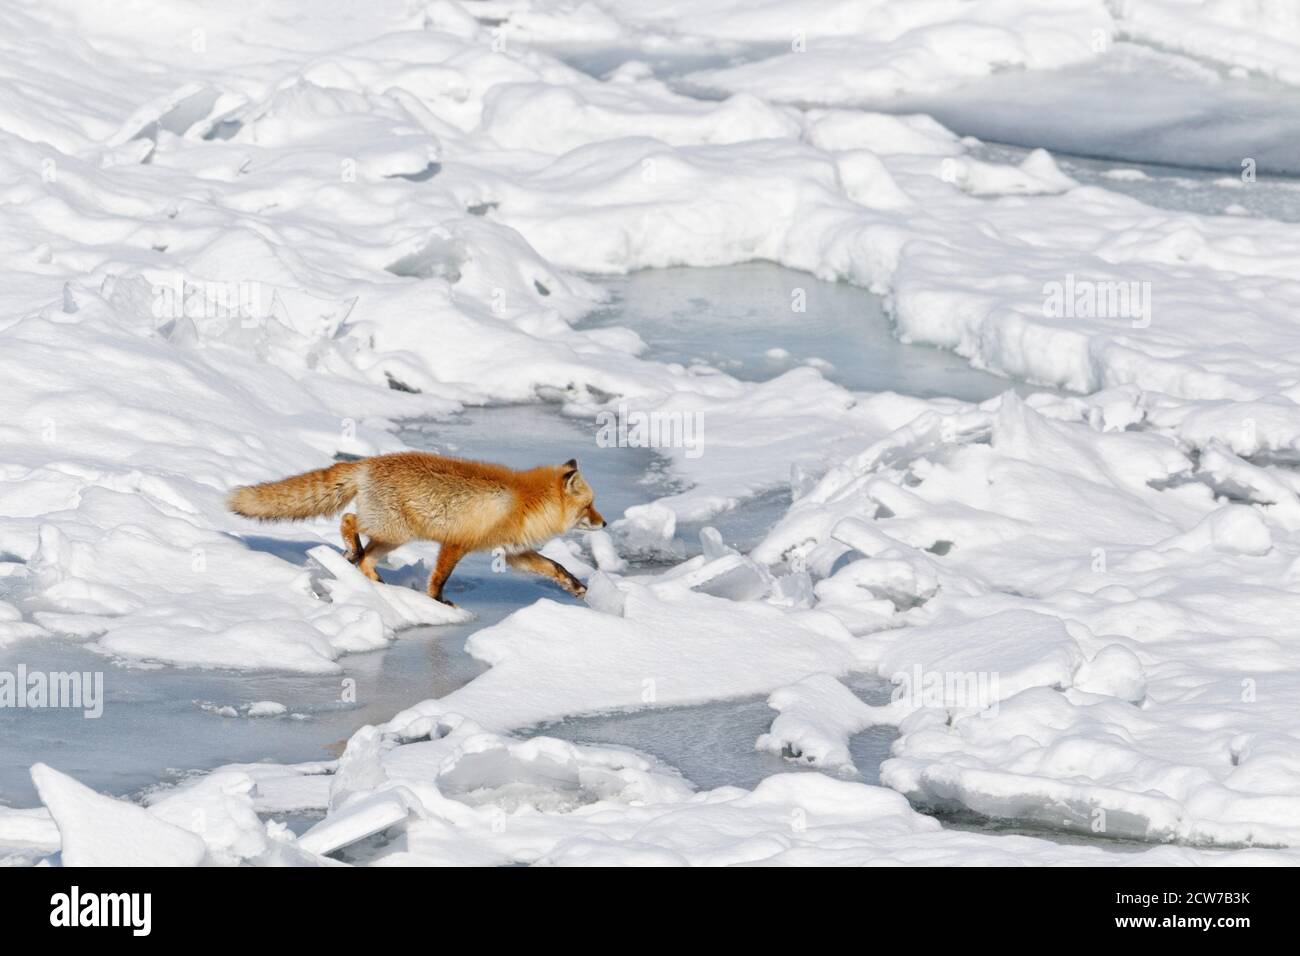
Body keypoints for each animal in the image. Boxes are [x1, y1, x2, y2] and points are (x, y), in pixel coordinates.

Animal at [226, 452, 605, 605]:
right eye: (589, 506)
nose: (604, 522)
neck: (524, 501)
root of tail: (368, 463)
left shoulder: (514, 553)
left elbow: (555, 567)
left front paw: (577, 587)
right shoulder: (457, 543)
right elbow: (439, 578)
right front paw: (437, 602)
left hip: (391, 537)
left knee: (367, 560)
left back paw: (375, 580)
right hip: (394, 530)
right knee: (348, 520)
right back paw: (352, 550)